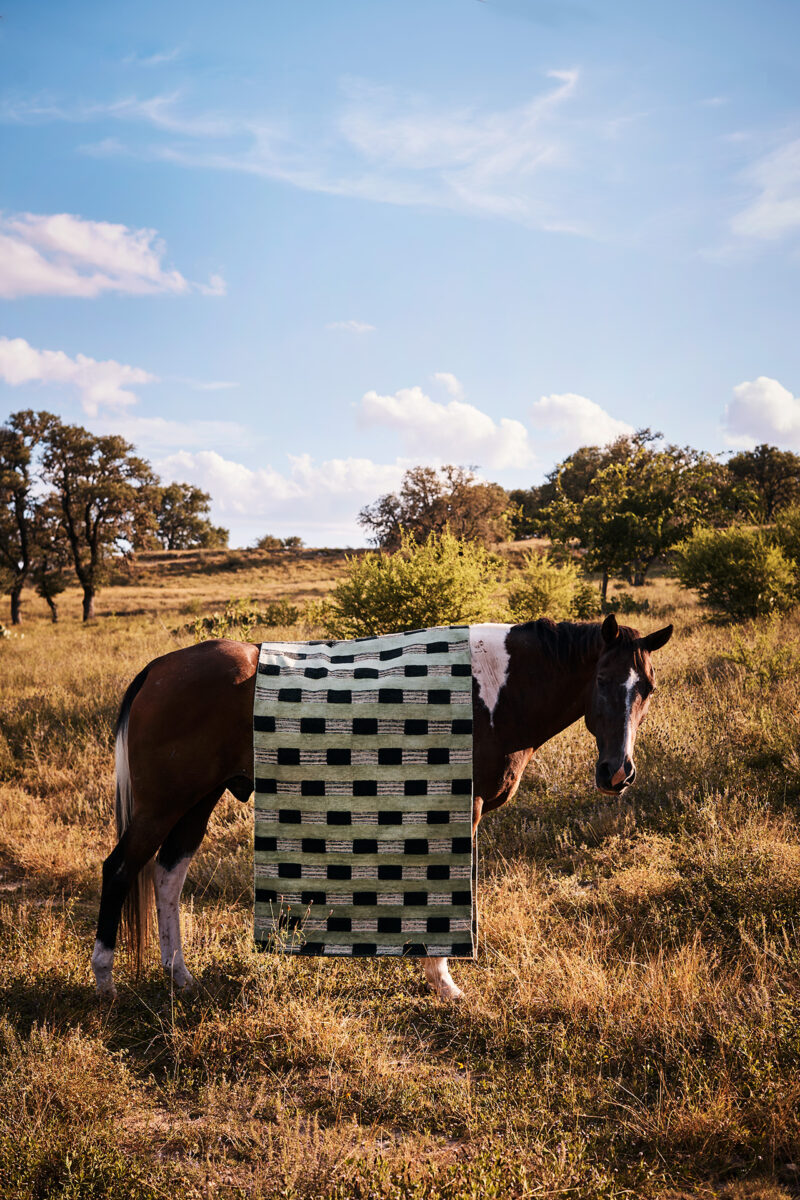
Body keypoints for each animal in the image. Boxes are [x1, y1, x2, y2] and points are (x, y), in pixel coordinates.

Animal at [91, 613, 672, 1001]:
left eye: (646, 687)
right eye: (602, 680)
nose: (617, 772)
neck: (493, 689)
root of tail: (159, 668)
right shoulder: (464, 807)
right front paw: (443, 980)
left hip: (197, 800)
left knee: (167, 876)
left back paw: (179, 975)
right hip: (164, 804)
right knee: (120, 869)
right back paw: (104, 981)